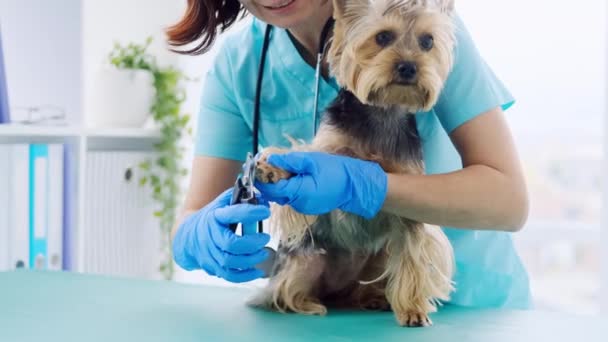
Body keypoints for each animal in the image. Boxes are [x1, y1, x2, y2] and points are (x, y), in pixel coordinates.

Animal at [251, 0, 456, 326]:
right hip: (306, 260)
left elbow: (411, 258)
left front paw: (412, 309)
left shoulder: (411, 203)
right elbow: (307, 153)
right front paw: (272, 165)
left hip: (379, 258)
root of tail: (338, 289)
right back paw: (308, 304)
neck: (382, 113)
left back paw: (375, 298)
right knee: (284, 290)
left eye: (427, 42)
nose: (409, 66)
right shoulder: (328, 148)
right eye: (383, 37)